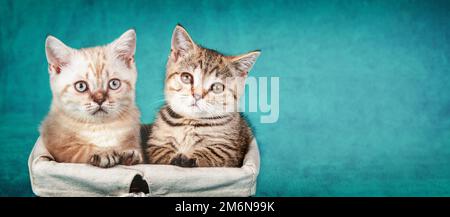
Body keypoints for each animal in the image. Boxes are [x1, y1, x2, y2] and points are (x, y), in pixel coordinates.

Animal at [40, 29, 143, 168]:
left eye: (114, 83)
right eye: (81, 86)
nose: (99, 99)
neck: (100, 127)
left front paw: (129, 153)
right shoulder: (56, 145)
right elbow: (78, 150)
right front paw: (103, 152)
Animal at [147, 25, 260, 168]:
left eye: (217, 87)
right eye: (186, 77)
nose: (197, 95)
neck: (190, 123)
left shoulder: (230, 150)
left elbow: (213, 154)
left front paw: (189, 159)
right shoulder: (155, 144)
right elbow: (160, 154)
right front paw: (175, 158)